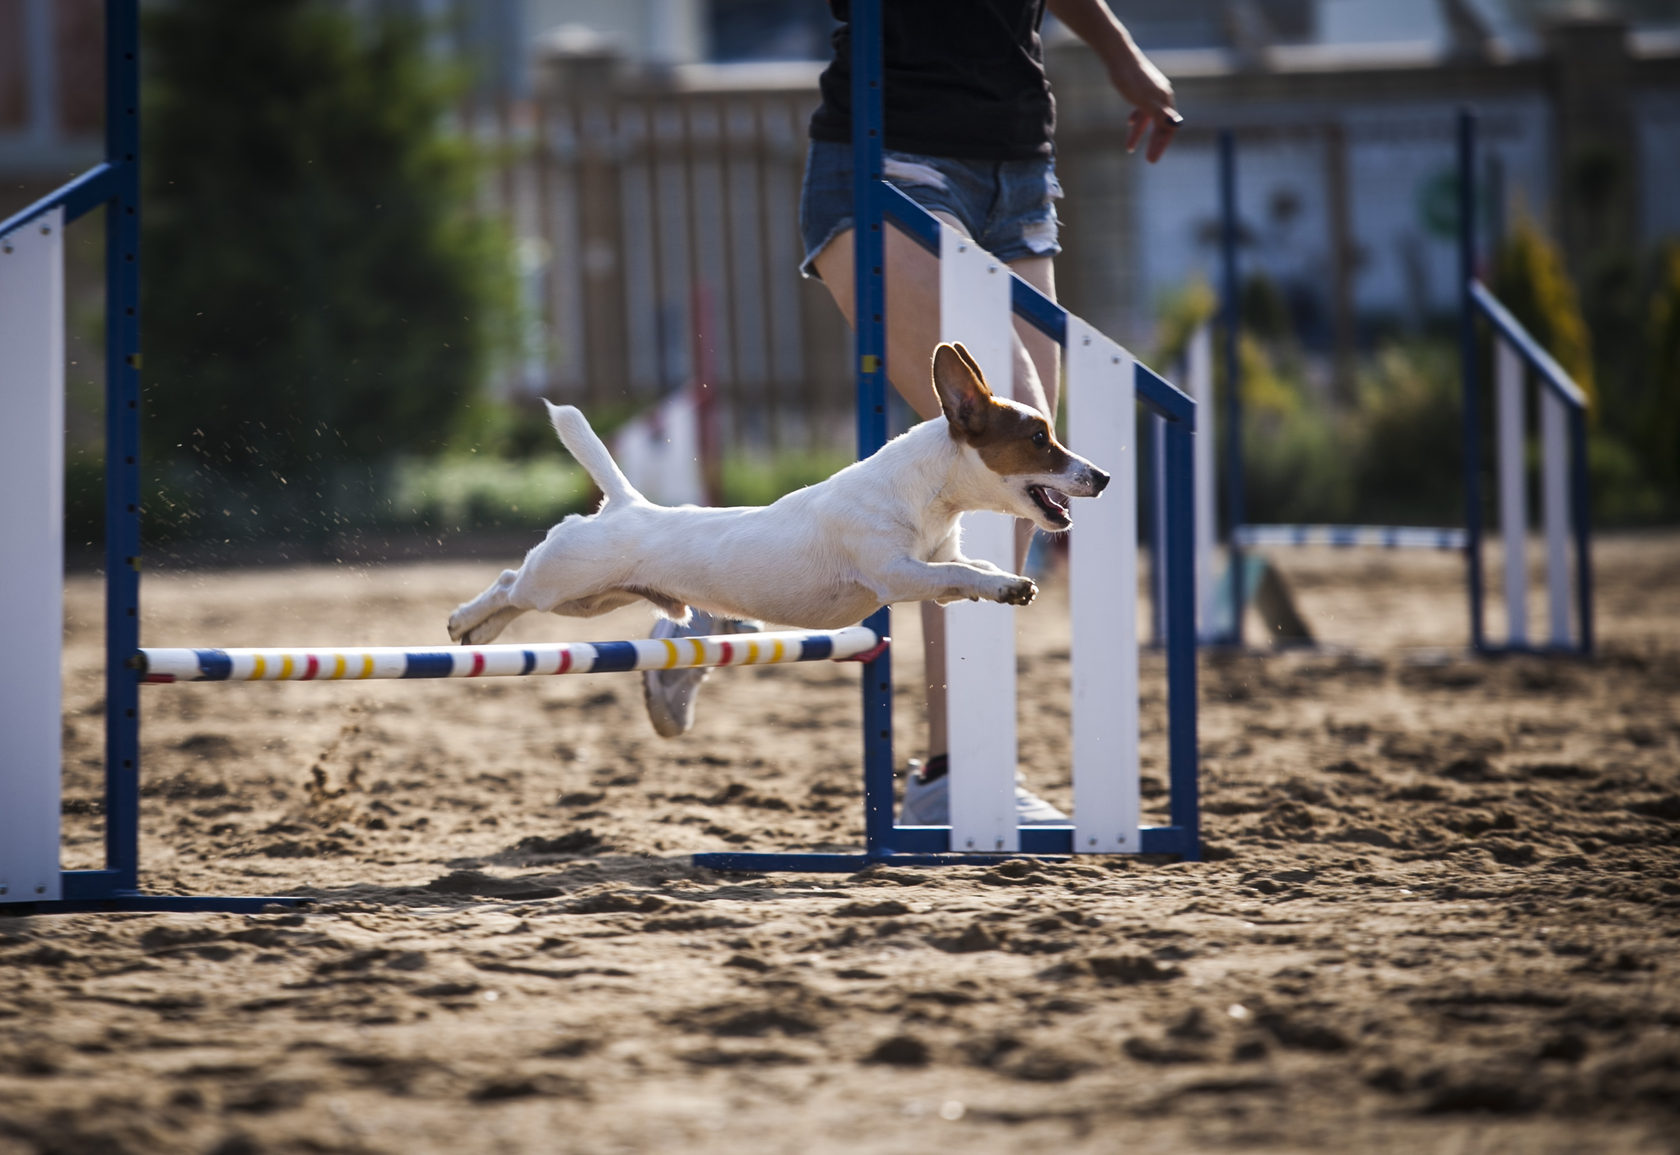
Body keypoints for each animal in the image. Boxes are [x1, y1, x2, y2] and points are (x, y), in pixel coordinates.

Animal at [446, 342, 1108, 641]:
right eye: (1040, 438)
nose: (1101, 477)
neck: (924, 498)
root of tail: (627, 504)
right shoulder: (896, 574)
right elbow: (958, 573)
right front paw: (1003, 584)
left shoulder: (934, 568)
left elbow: (969, 571)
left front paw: (1007, 585)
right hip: (561, 581)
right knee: (508, 582)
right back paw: (463, 621)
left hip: (589, 602)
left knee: (514, 598)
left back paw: (480, 634)